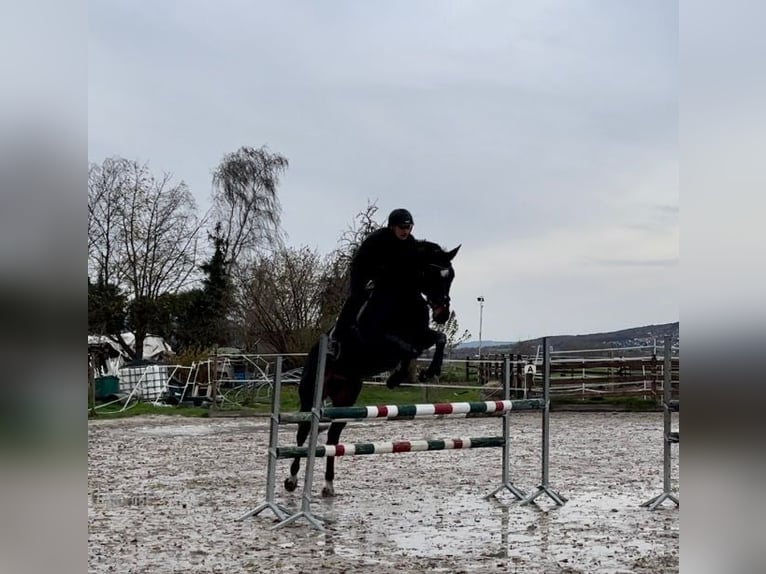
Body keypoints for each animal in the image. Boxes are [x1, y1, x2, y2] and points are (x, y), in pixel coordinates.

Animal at [284, 241, 460, 498]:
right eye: (431, 273)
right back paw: (291, 479)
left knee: (333, 437)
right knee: (303, 431)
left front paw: (427, 372)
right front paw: (398, 377)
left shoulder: (419, 334)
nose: (442, 314)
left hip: (346, 398)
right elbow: (409, 350)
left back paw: (328, 484)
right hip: (310, 395)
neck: (401, 296)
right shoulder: (378, 340)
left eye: (451, 276)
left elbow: (439, 338)